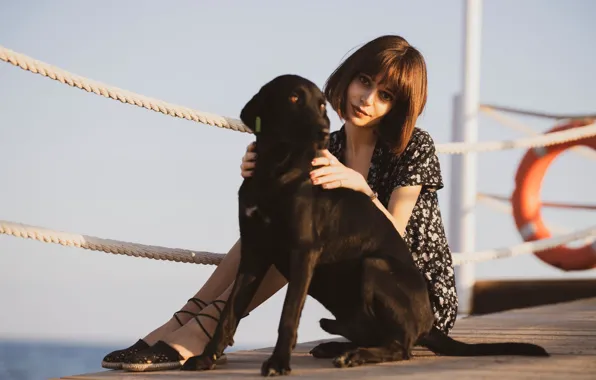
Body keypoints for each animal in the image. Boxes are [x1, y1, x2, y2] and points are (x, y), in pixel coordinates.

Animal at [183, 75, 548, 376]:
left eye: (322, 104)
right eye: (293, 98)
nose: (322, 131)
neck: (276, 169)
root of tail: (429, 323)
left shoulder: (302, 250)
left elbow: (288, 314)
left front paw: (278, 363)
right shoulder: (255, 252)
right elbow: (229, 312)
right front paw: (205, 358)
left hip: (374, 265)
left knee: (402, 347)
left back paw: (356, 355)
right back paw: (339, 346)